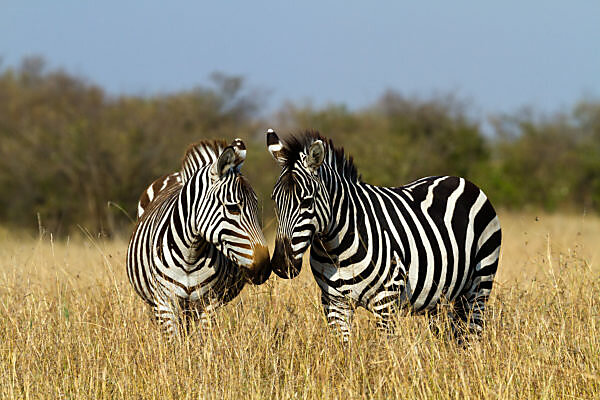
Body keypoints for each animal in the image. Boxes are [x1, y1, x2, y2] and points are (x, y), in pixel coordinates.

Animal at [130, 138, 274, 338]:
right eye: (233, 208)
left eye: (256, 207)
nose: (264, 268)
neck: (190, 254)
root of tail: (177, 174)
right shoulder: (165, 302)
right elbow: (174, 343)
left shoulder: (208, 303)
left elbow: (202, 341)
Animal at [268, 130, 502, 342]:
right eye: (274, 200)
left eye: (306, 202)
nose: (281, 265)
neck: (336, 249)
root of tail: (460, 179)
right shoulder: (334, 303)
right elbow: (344, 352)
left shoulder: (386, 302)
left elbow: (385, 352)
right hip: (440, 297)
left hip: (479, 285)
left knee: (472, 335)